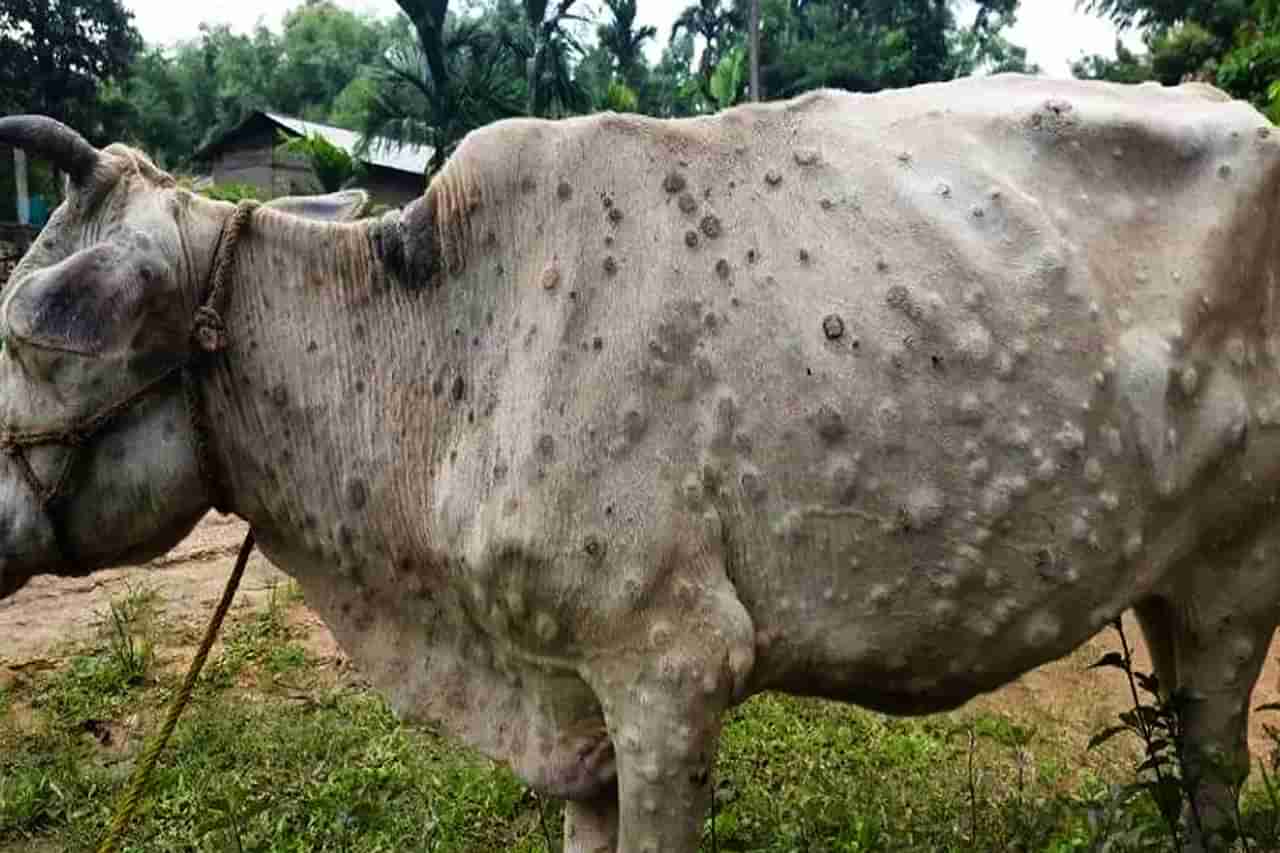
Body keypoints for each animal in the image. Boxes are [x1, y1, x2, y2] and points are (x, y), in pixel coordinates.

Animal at [2, 74, 1280, 850]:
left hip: (1237, 570)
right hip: (1163, 579)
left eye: (30, 329)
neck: (451, 351)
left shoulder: (671, 668)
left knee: (1212, 768)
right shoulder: (572, 702)